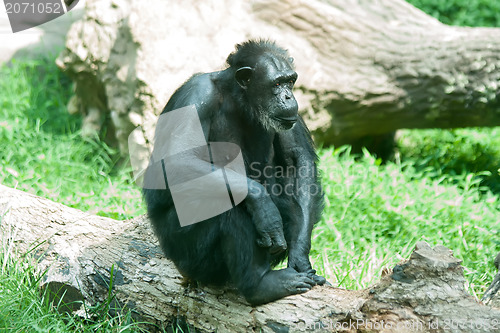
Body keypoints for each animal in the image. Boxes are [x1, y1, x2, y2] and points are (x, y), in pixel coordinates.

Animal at [143, 38, 326, 304]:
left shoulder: (289, 117)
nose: (288, 96)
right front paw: (262, 204)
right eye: (277, 83)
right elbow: (177, 160)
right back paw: (260, 284)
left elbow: (297, 160)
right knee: (230, 204)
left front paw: (301, 258)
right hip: (184, 253)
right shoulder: (197, 95)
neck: (240, 98)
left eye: (290, 81)